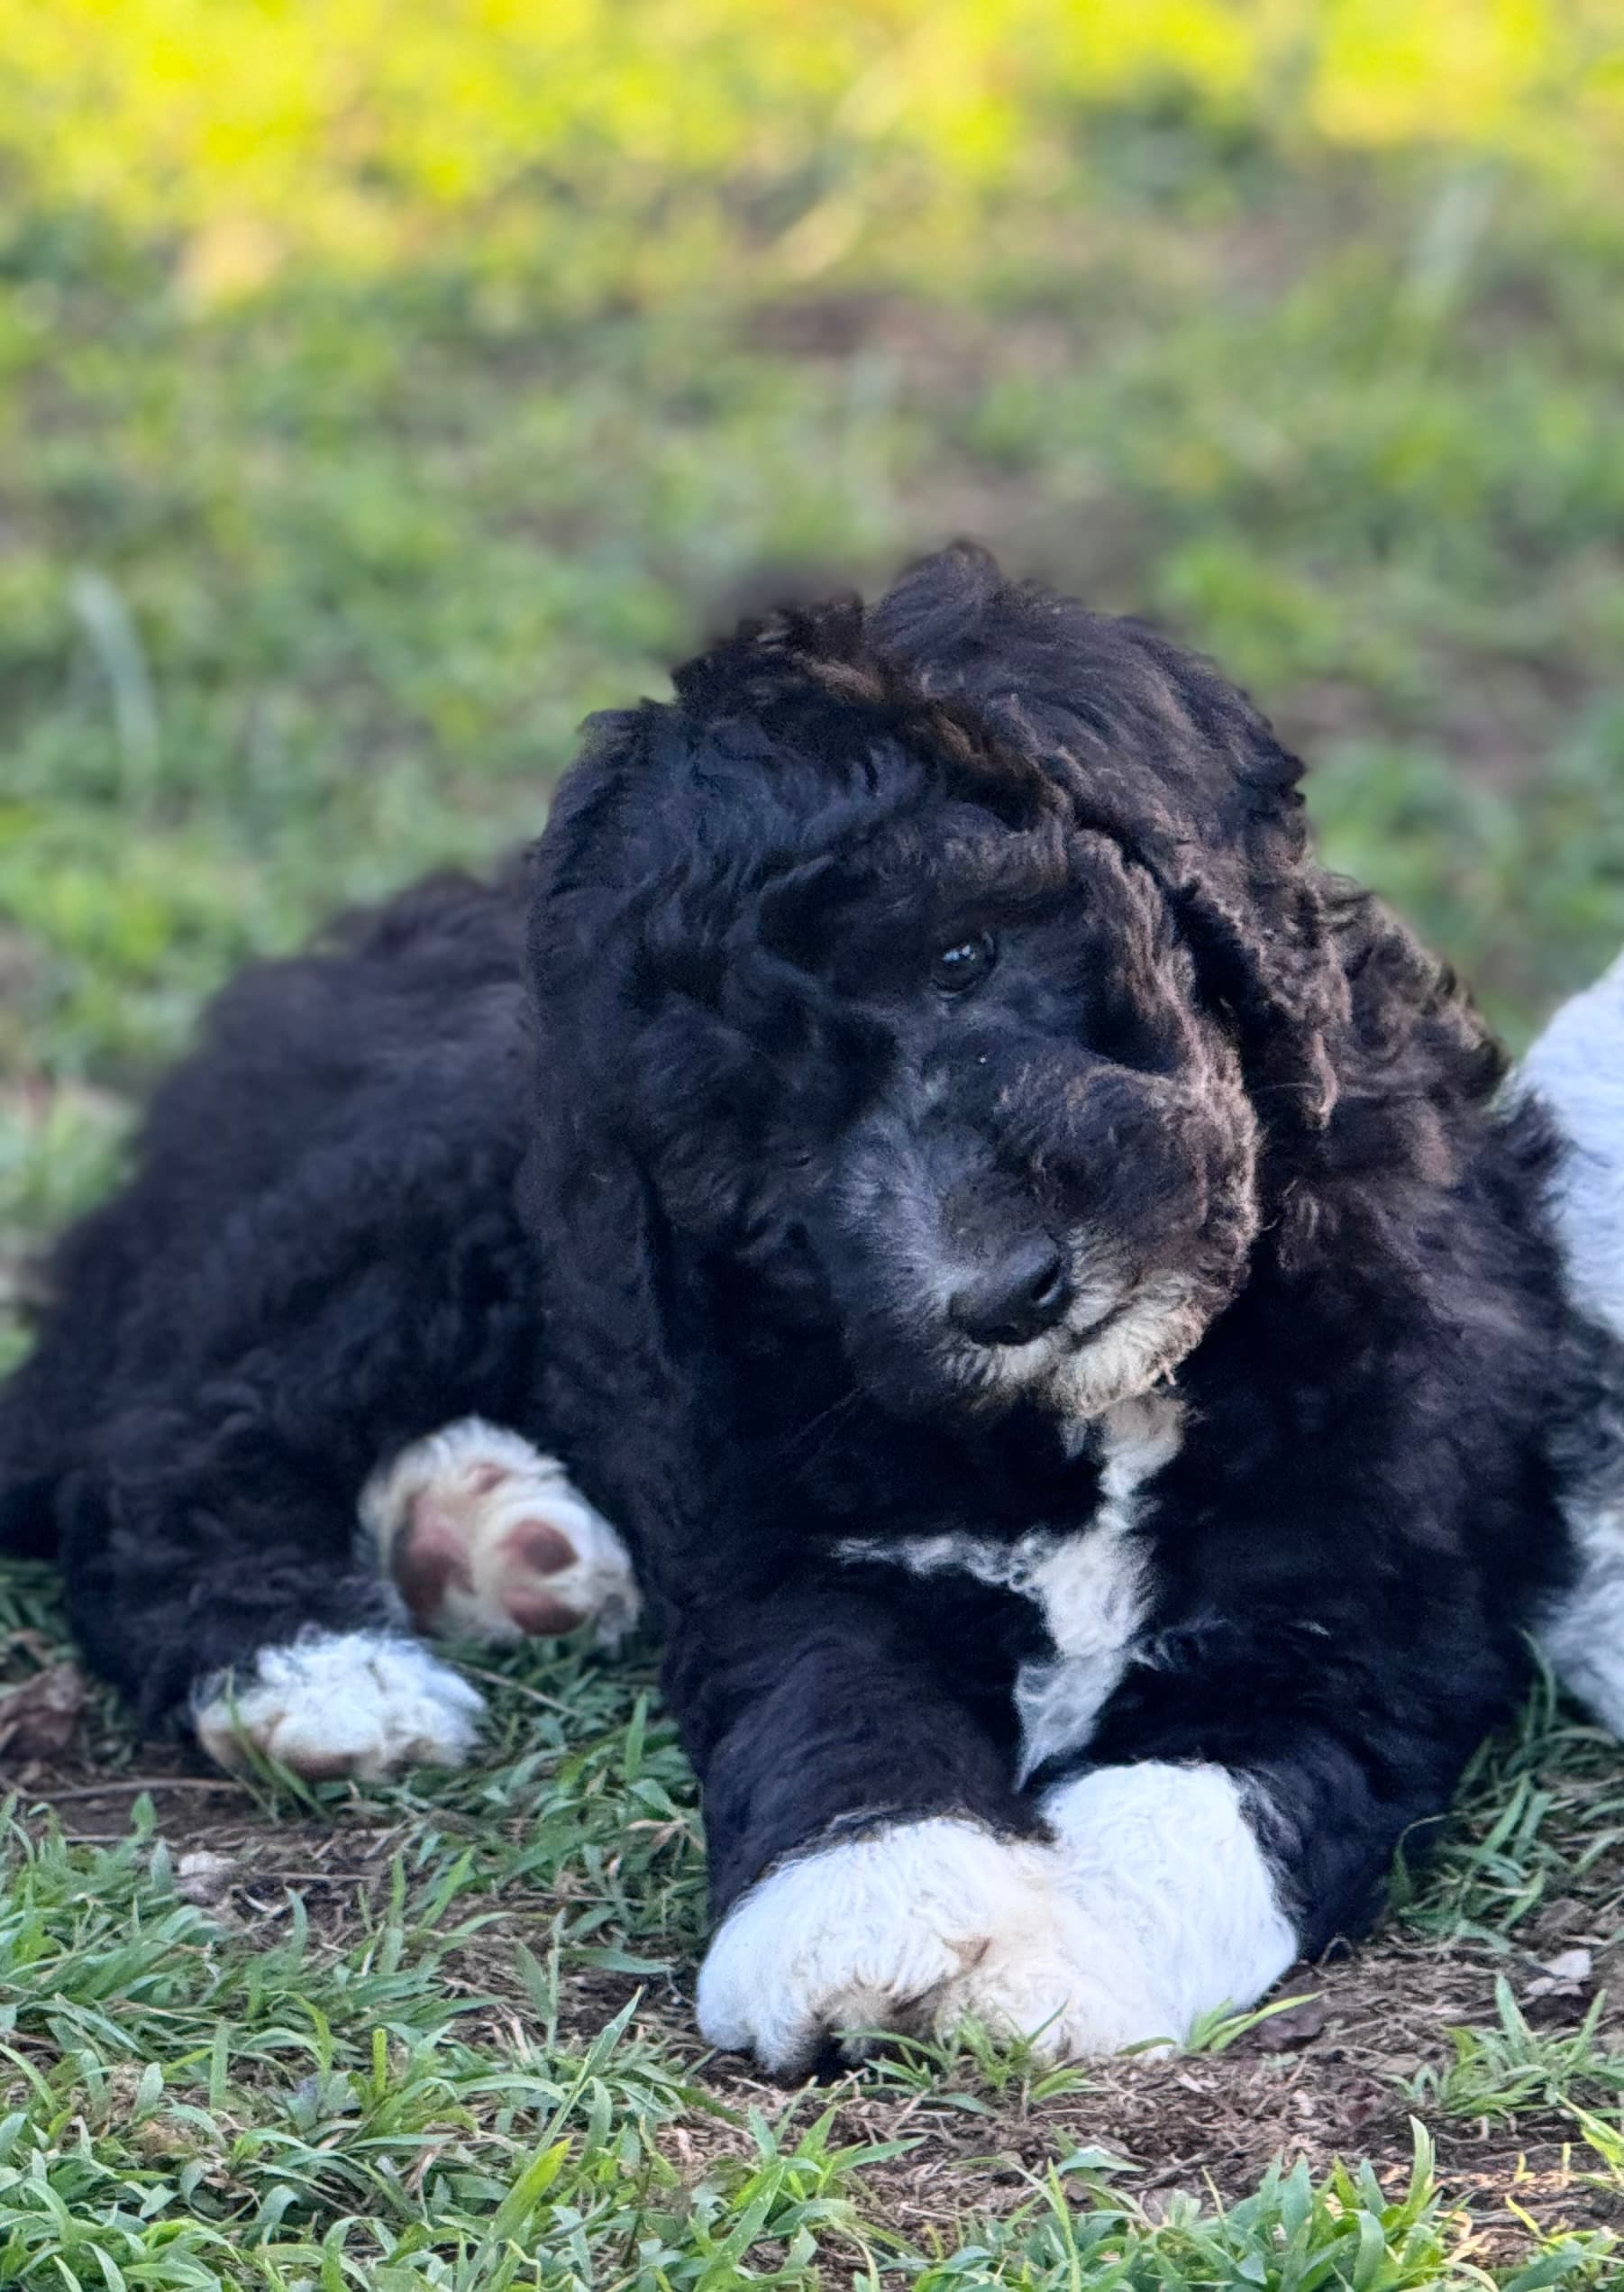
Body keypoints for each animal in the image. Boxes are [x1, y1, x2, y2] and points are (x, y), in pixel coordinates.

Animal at [0, 554, 1612, 2081]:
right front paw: (865, 1912)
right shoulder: (801, 1545)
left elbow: (1197, 1799)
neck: (1104, 1415)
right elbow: (840, 1707)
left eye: (962, 954)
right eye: (760, 1139)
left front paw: (1058, 1951)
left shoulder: (1364, 1597)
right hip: (425, 1184)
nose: (1006, 1291)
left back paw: (486, 1532)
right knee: (167, 1429)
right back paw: (321, 1669)